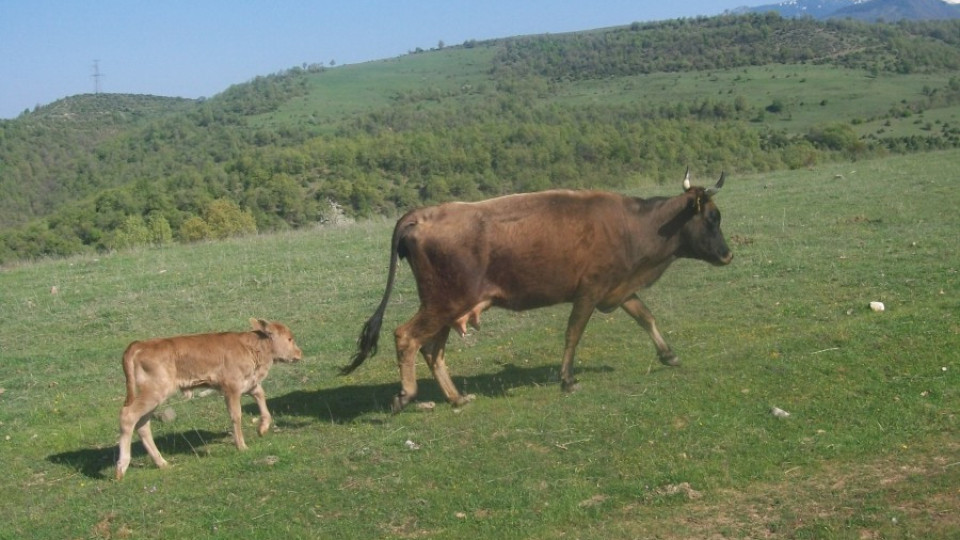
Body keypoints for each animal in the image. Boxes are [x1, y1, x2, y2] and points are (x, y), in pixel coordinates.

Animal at [117, 318, 302, 478]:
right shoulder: (231, 388)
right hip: (155, 392)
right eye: (289, 338)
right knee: (128, 416)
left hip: (153, 397)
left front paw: (262, 428)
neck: (250, 346)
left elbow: (261, 395)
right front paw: (241, 446)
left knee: (142, 424)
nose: (299, 353)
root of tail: (139, 344)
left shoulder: (249, 383)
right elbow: (236, 415)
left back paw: (162, 463)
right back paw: (121, 468)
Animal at [344, 171, 736, 412]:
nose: (728, 254)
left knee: (431, 350)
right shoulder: (590, 290)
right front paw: (567, 379)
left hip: (448, 308)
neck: (634, 225)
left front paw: (668, 354)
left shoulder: (619, 288)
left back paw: (456, 398)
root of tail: (420, 215)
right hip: (443, 302)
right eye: (712, 218)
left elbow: (645, 316)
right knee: (406, 337)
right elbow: (573, 333)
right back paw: (407, 394)